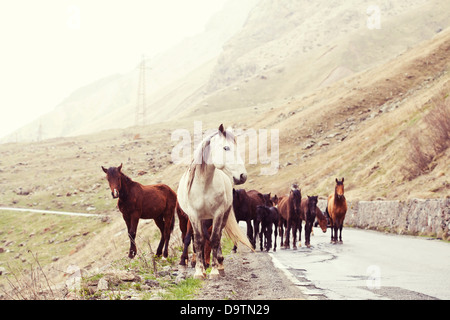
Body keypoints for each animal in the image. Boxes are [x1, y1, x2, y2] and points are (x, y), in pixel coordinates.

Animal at [176, 124, 253, 278]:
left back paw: (220, 263)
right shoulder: (194, 216)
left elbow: (215, 239)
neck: (204, 185)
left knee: (216, 236)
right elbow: (198, 240)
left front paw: (215, 270)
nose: (242, 176)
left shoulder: (218, 214)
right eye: (226, 148)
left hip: (222, 216)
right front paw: (199, 271)